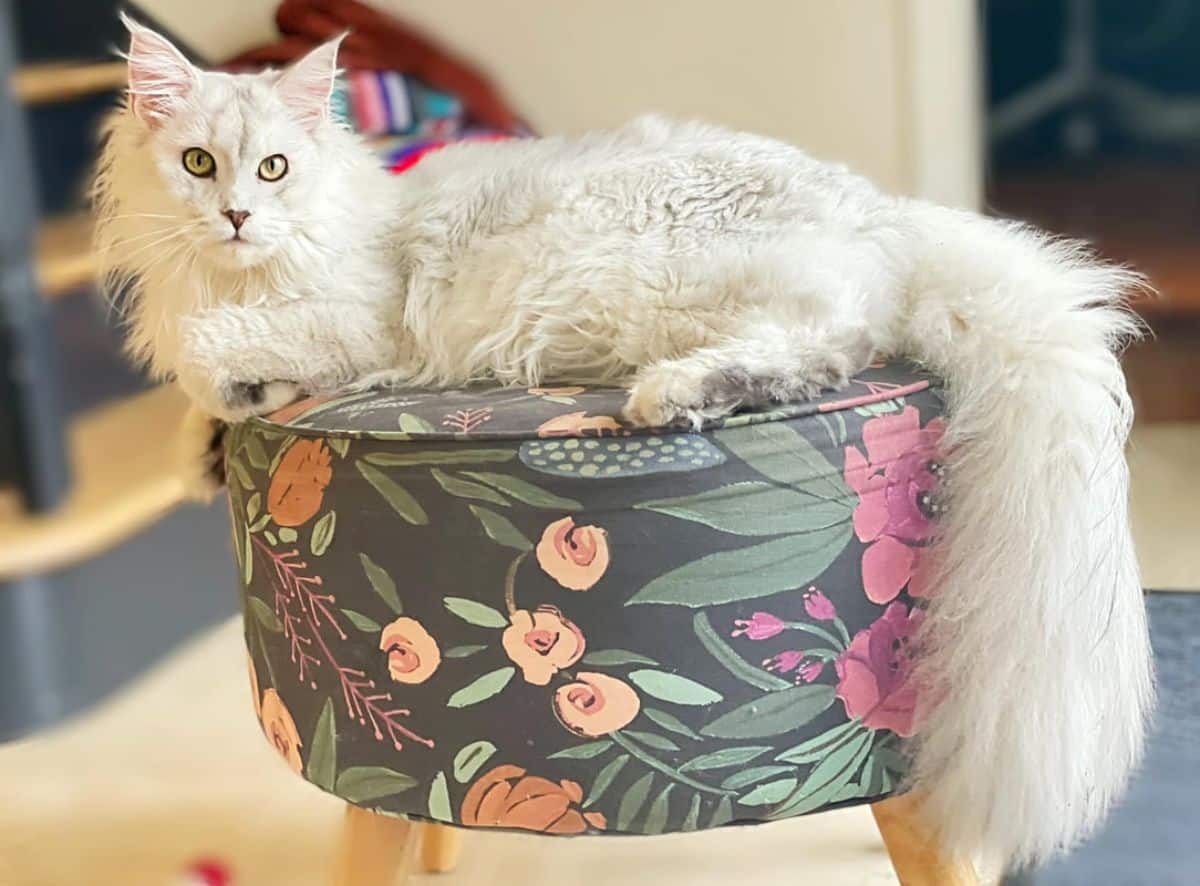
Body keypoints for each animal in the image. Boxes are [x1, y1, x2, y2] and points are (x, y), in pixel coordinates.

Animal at [96, 17, 1152, 864]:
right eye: (198, 165)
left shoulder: (359, 325)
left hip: (649, 278)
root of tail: (890, 215)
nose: (237, 217)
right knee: (830, 344)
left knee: (821, 340)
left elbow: (215, 353)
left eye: (273, 170)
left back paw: (675, 397)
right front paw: (202, 450)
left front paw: (228, 386)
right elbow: (215, 397)